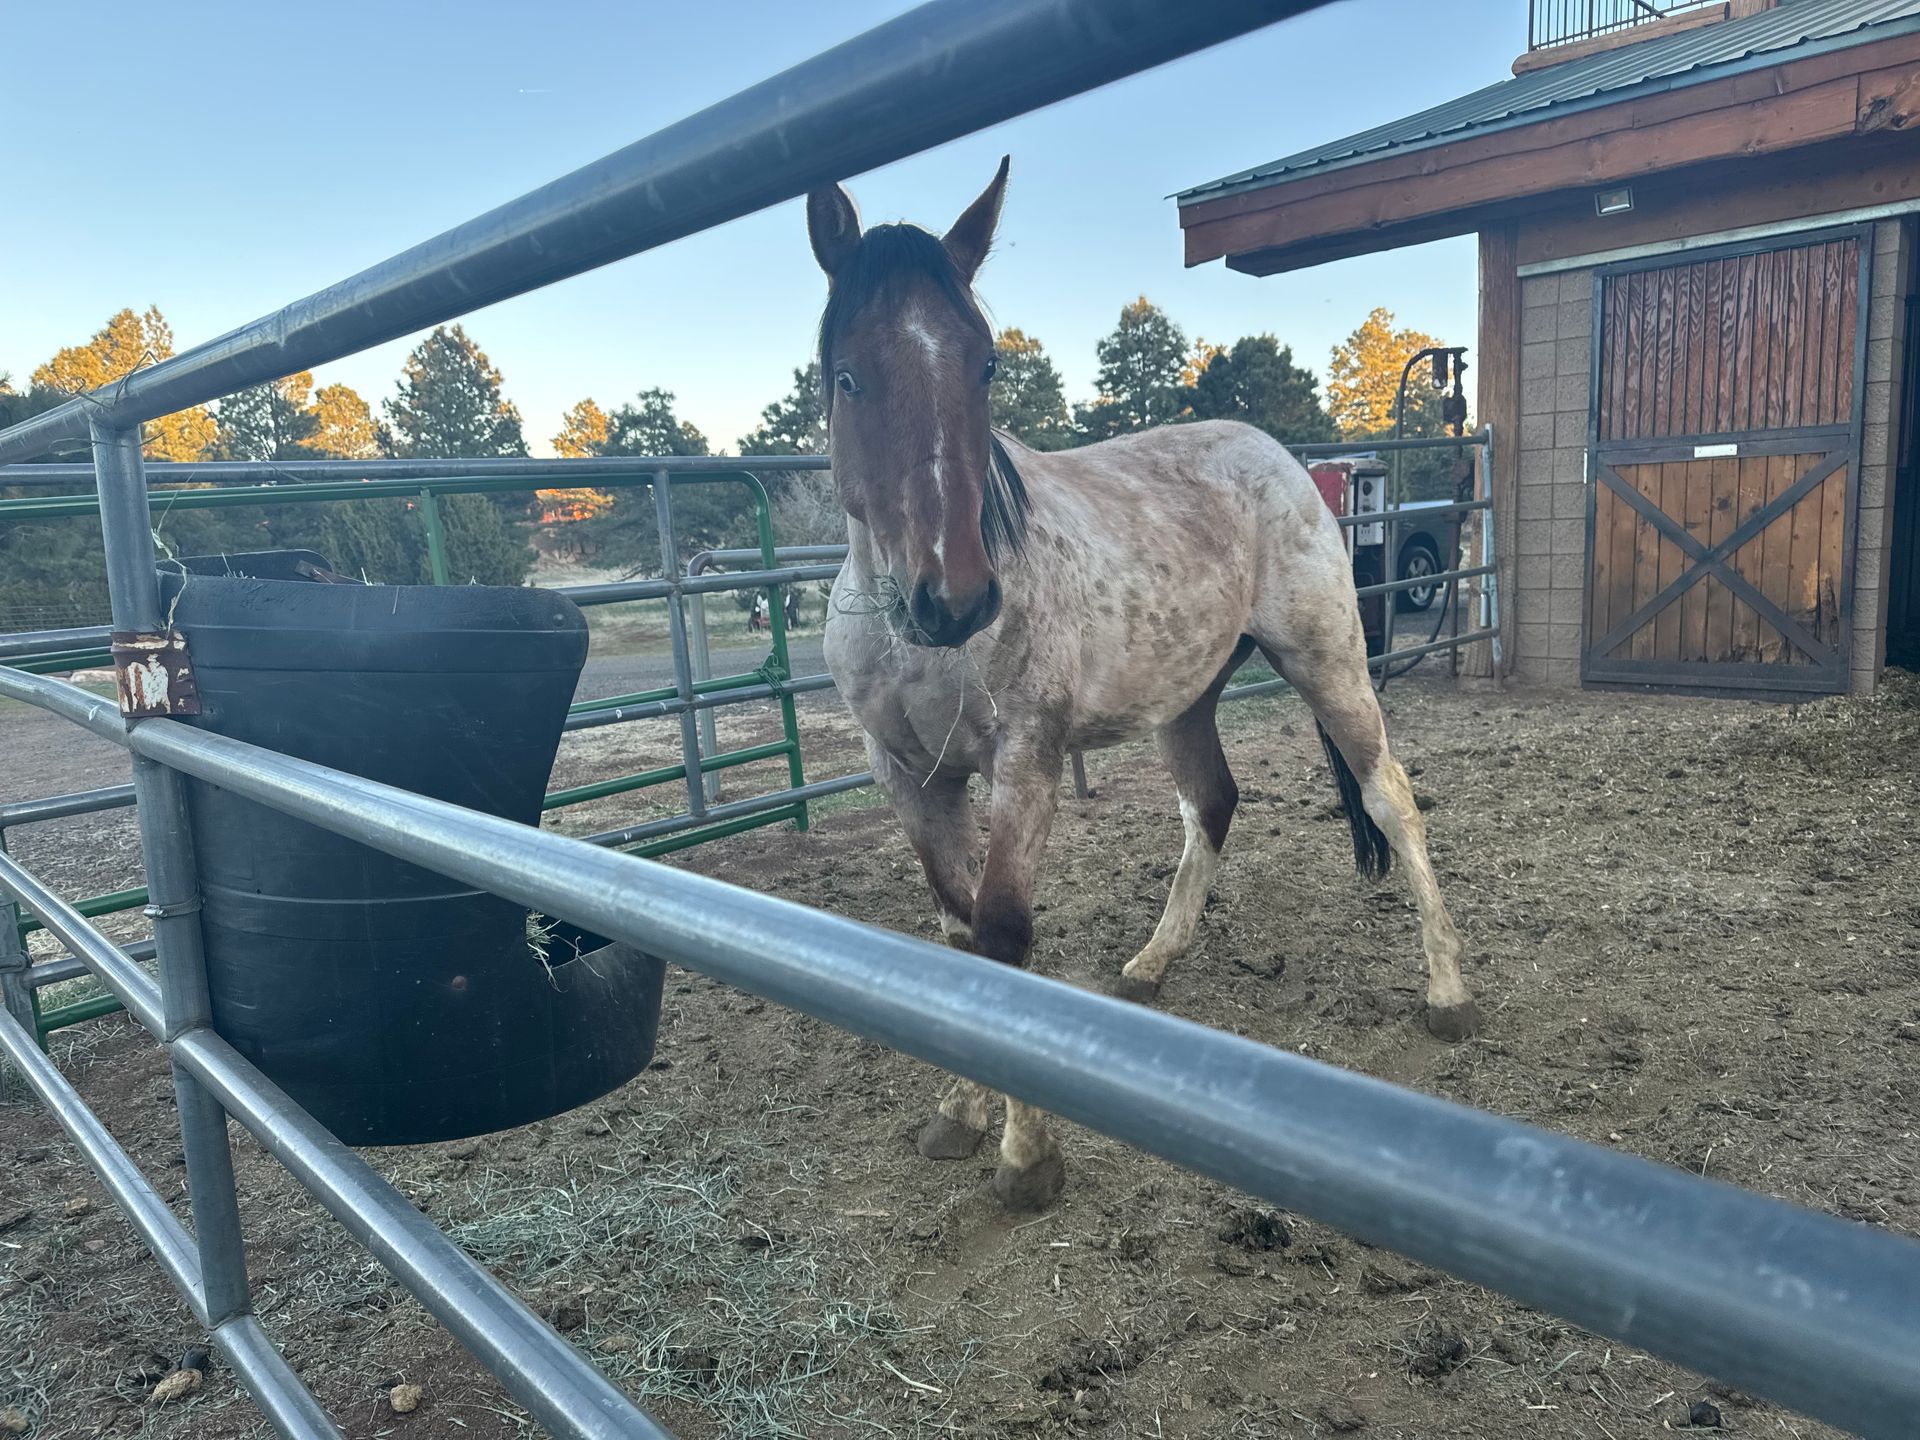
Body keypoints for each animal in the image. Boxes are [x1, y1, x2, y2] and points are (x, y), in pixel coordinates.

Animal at [813, 158, 1480, 1211]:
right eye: (849, 374)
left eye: (984, 364)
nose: (955, 599)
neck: (910, 639)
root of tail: (1277, 455)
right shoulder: (908, 775)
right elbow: (955, 938)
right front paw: (959, 1114)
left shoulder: (1027, 760)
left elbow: (1001, 935)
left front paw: (1026, 1158)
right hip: (1185, 700)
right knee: (1213, 803)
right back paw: (1150, 967)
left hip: (1330, 662)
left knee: (1391, 797)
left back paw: (1448, 993)